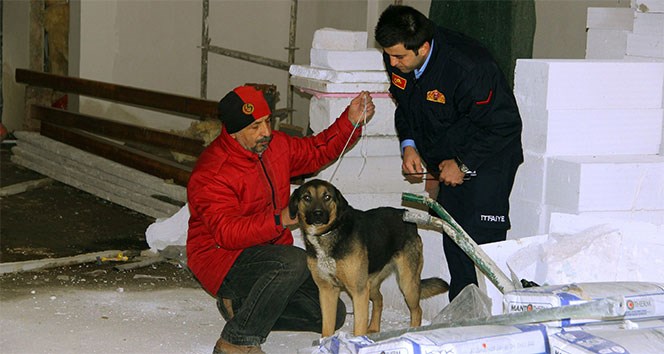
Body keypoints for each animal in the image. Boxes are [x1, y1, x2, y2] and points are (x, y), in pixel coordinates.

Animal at [288, 178, 448, 336]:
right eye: (307, 198)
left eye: (327, 197)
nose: (318, 214)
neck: (330, 232)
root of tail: (406, 213)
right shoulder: (327, 290)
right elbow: (327, 329)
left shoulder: (358, 291)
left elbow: (359, 328)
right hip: (370, 284)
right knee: (380, 300)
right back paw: (374, 328)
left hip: (406, 284)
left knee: (417, 311)